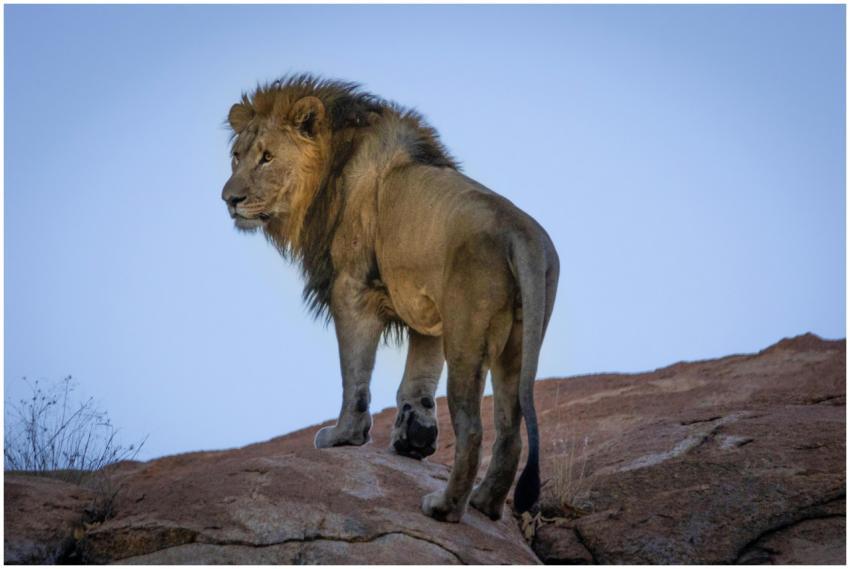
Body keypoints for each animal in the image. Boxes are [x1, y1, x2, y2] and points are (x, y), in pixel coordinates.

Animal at [221, 74, 559, 522]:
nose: (229, 199)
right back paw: (485, 504)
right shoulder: (428, 310)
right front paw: (414, 440)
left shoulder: (352, 289)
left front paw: (344, 435)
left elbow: (355, 375)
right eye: (236, 157)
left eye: (267, 158)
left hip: (468, 337)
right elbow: (417, 382)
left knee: (473, 430)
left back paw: (445, 508)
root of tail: (522, 233)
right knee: (510, 430)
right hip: (517, 345)